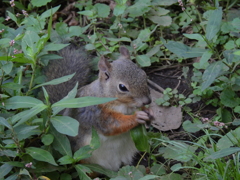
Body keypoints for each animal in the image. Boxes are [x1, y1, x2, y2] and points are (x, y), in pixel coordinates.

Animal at [44, 44, 153, 172]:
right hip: (87, 158)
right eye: (122, 87)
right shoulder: (97, 114)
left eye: (144, 75)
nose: (147, 101)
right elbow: (112, 126)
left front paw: (149, 112)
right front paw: (137, 117)